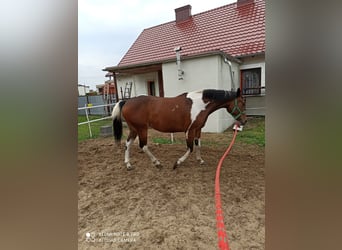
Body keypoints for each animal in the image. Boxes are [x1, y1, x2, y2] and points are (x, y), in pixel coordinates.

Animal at [112, 88, 246, 170]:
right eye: (242, 103)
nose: (244, 121)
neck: (200, 105)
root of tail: (126, 101)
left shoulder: (198, 129)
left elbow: (198, 145)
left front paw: (200, 160)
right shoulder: (190, 131)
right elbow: (190, 148)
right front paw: (177, 163)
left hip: (134, 129)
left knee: (128, 144)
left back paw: (128, 164)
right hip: (142, 129)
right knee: (143, 146)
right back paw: (157, 163)